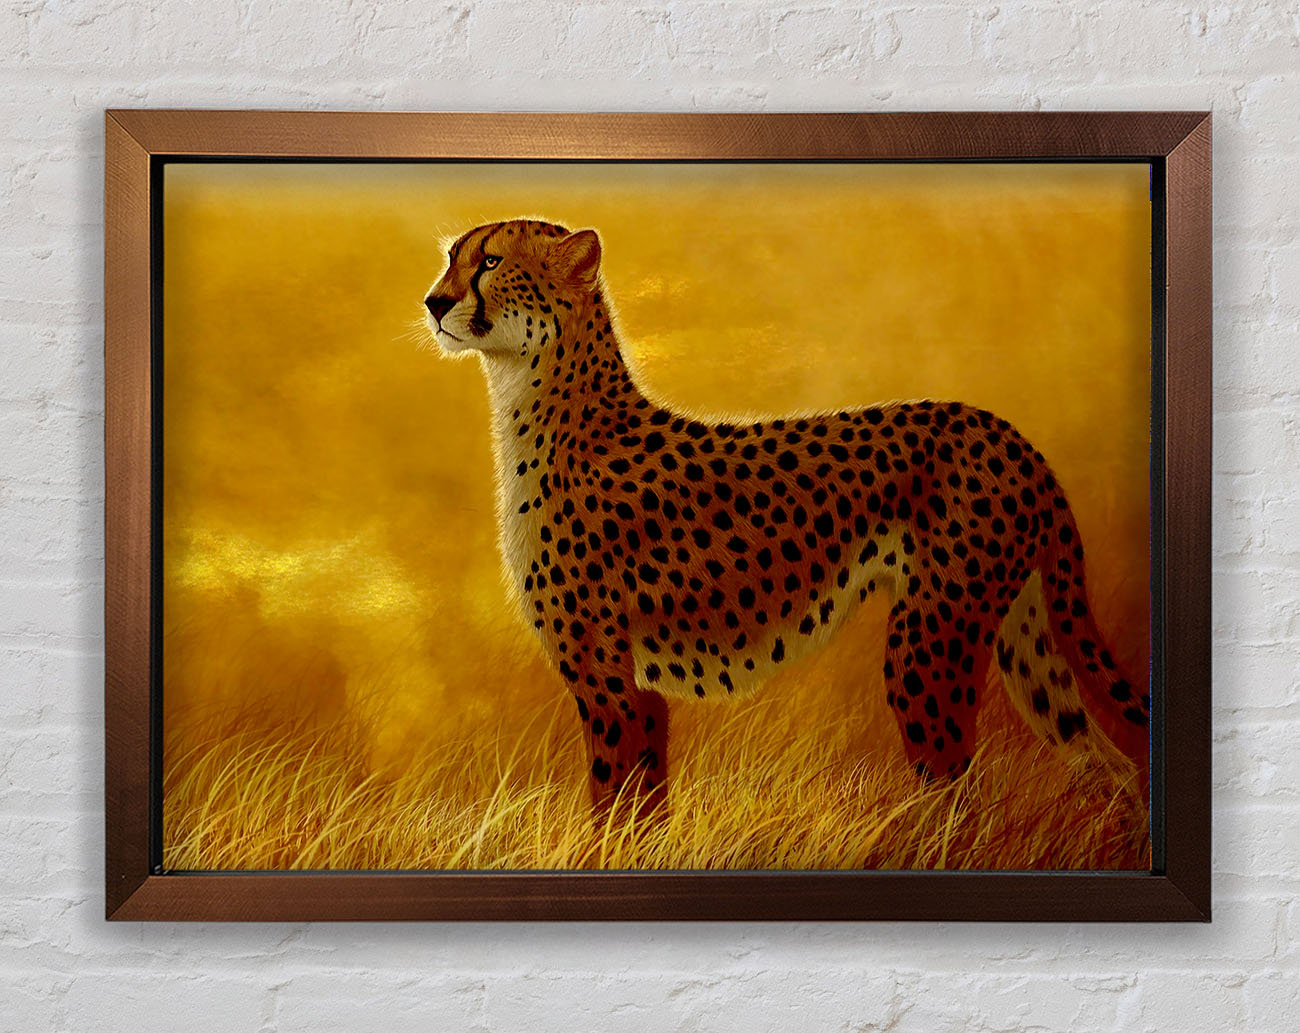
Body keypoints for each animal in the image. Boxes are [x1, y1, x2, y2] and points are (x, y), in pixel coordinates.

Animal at [422, 218, 1151, 816]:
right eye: (453, 258)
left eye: (490, 261)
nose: (433, 302)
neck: (536, 396)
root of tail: (1006, 431)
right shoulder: (641, 688)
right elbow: (643, 809)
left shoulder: (606, 684)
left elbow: (610, 806)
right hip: (1021, 637)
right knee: (1110, 765)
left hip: (927, 642)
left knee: (955, 789)